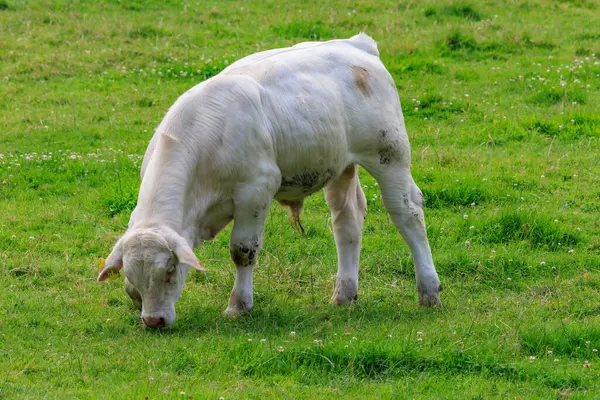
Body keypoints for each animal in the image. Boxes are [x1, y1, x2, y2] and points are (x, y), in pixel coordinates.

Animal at [97, 33, 440, 328]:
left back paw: (429, 290)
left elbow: (243, 250)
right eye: (133, 274)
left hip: (389, 156)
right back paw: (344, 294)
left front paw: (239, 305)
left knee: (408, 214)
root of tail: (356, 44)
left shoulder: (256, 191)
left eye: (170, 271)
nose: (154, 321)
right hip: (341, 166)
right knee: (347, 221)